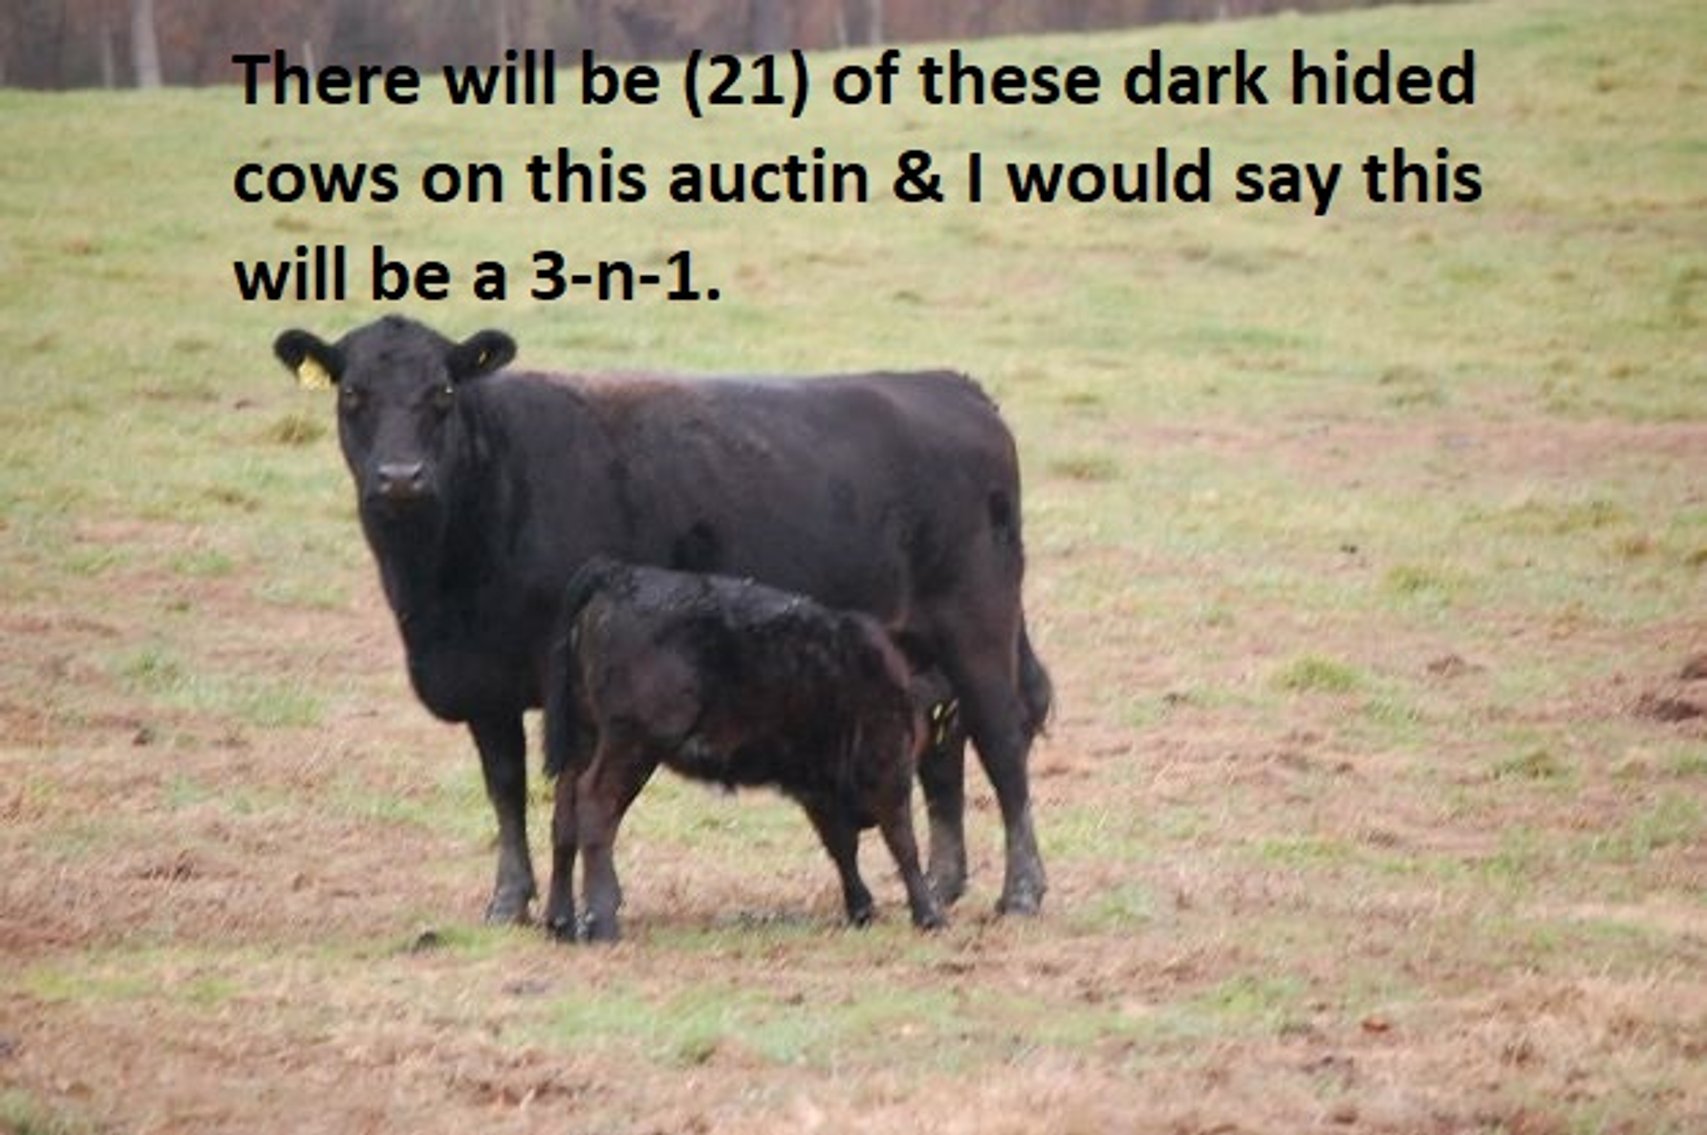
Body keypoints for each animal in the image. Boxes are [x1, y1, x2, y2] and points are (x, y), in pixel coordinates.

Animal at [542, 557, 945, 940]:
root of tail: (617, 575)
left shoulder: (818, 788)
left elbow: (842, 847)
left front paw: (862, 909)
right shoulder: (886, 765)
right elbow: (902, 841)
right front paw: (929, 915)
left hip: (585, 742)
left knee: (565, 816)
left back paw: (561, 923)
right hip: (631, 746)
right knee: (596, 806)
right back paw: (602, 922)